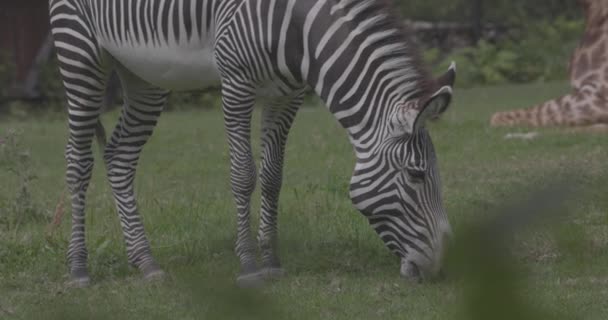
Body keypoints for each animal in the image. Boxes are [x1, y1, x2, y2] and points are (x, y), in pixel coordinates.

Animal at [51, 0, 456, 288]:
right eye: (417, 175)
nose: (438, 266)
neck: (298, 31)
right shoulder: (236, 85)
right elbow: (244, 175)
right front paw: (248, 265)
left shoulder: (287, 95)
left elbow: (274, 176)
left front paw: (272, 261)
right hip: (80, 53)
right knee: (77, 162)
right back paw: (78, 269)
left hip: (144, 74)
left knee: (120, 156)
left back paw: (146, 262)